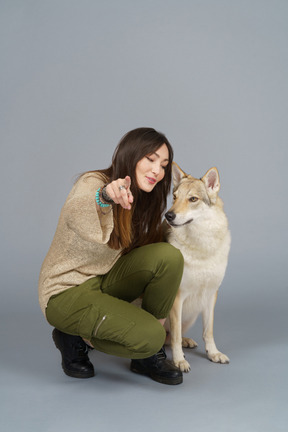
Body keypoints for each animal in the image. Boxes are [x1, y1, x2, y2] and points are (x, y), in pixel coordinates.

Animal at [163, 162, 231, 372]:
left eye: (193, 199)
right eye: (174, 197)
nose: (168, 215)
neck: (201, 245)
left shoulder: (210, 294)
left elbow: (208, 331)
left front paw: (213, 353)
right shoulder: (177, 297)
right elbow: (175, 336)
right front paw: (179, 361)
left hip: (191, 314)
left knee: (167, 338)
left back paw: (187, 341)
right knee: (167, 337)